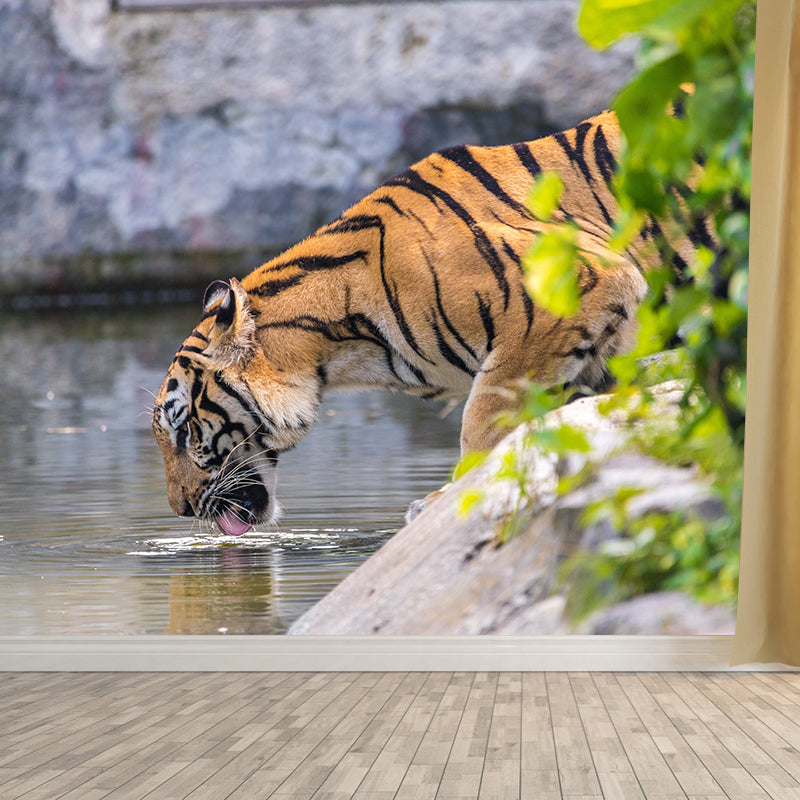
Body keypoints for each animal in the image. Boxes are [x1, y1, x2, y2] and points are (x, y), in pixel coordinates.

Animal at [152, 109, 709, 536]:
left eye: (184, 430)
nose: (179, 508)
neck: (347, 349)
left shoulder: (573, 284)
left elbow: (483, 418)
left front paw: (446, 497)